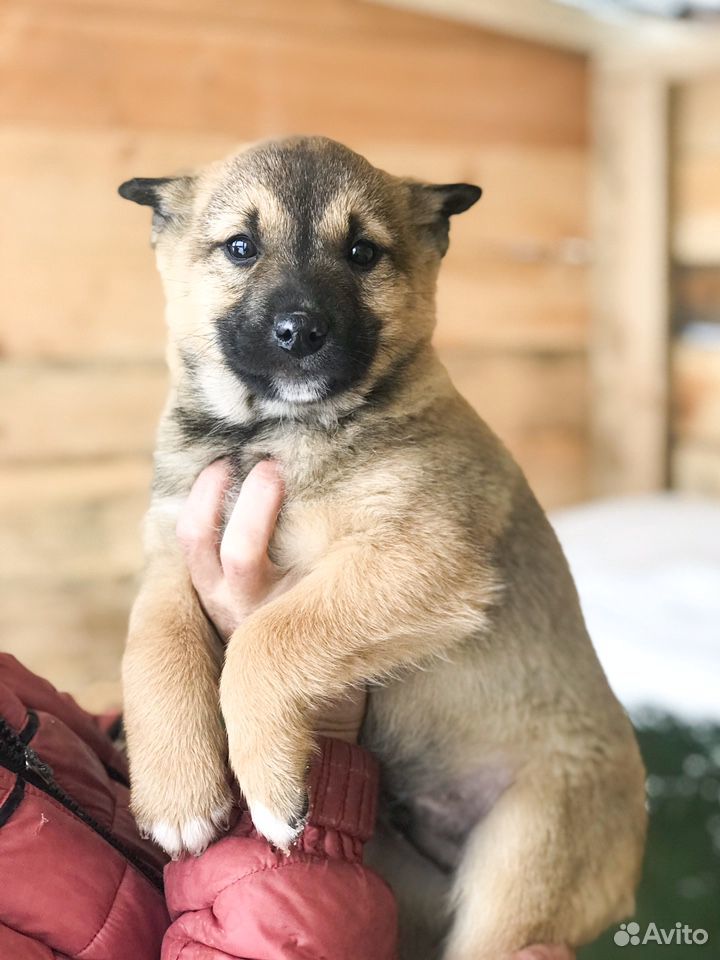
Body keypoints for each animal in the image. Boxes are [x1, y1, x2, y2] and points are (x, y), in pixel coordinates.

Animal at [119, 137, 648, 960]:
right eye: (241, 247)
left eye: (362, 253)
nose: (300, 332)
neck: (270, 434)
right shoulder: (173, 552)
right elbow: (153, 643)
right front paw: (176, 791)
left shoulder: (418, 556)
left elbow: (267, 639)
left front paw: (270, 785)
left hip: (522, 864)